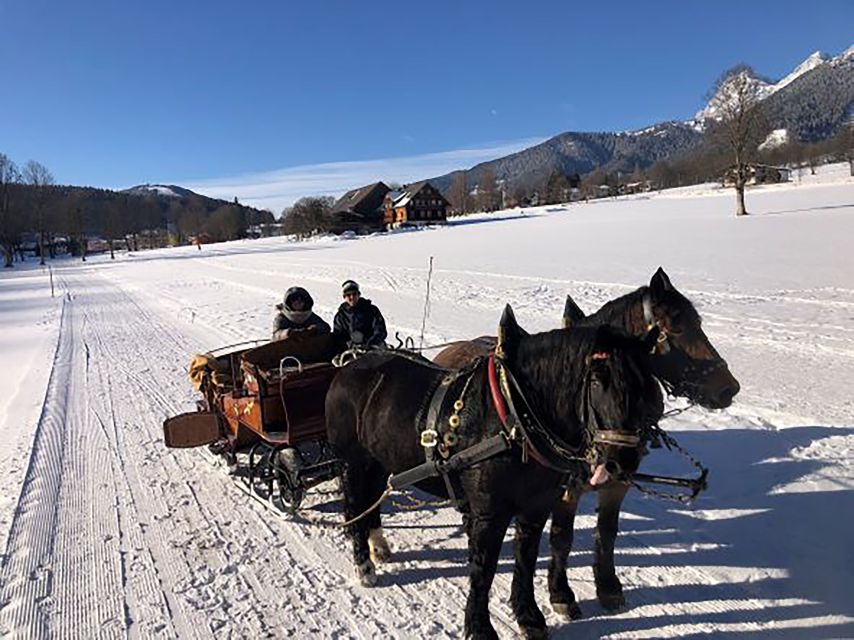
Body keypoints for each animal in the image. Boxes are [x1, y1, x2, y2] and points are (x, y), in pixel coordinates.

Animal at [324, 308, 664, 636]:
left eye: (648, 387)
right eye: (596, 380)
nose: (623, 462)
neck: (514, 419)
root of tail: (349, 364)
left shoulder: (537, 507)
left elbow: (525, 560)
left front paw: (529, 617)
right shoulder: (490, 512)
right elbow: (484, 568)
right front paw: (479, 627)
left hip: (379, 462)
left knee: (372, 503)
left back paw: (378, 546)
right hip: (353, 464)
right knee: (354, 508)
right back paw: (364, 566)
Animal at [434, 268, 744, 616]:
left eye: (699, 322)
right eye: (677, 328)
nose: (729, 389)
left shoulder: (617, 482)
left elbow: (607, 532)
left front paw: (608, 587)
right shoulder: (565, 489)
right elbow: (561, 537)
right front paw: (561, 592)